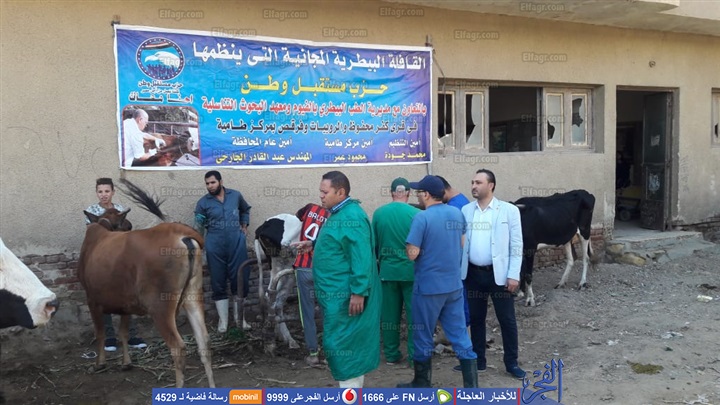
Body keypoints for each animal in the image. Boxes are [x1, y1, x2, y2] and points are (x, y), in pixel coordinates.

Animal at [79, 179, 214, 388]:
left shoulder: (92, 299)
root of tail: (182, 234)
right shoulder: (125, 303)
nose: (129, 225)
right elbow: (123, 332)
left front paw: (100, 363)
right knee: (204, 342)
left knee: (178, 347)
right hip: (193, 294)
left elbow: (100, 332)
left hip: (160, 305)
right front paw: (126, 362)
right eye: (126, 225)